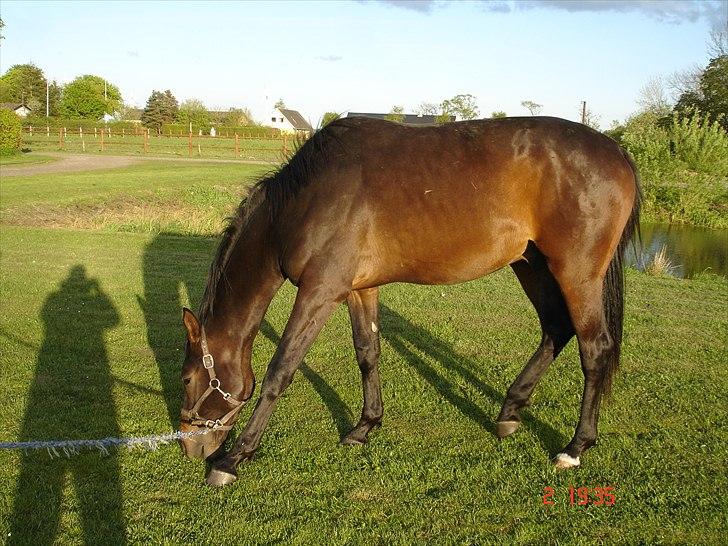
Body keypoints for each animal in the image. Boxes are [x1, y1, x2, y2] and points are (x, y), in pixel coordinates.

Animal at [179, 115, 640, 484]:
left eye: (186, 379)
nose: (190, 446)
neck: (305, 199)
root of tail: (617, 151)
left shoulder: (320, 291)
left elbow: (281, 370)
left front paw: (234, 458)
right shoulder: (358, 289)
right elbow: (368, 353)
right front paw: (365, 427)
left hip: (577, 272)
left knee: (594, 349)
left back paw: (575, 447)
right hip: (532, 264)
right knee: (555, 329)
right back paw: (509, 412)